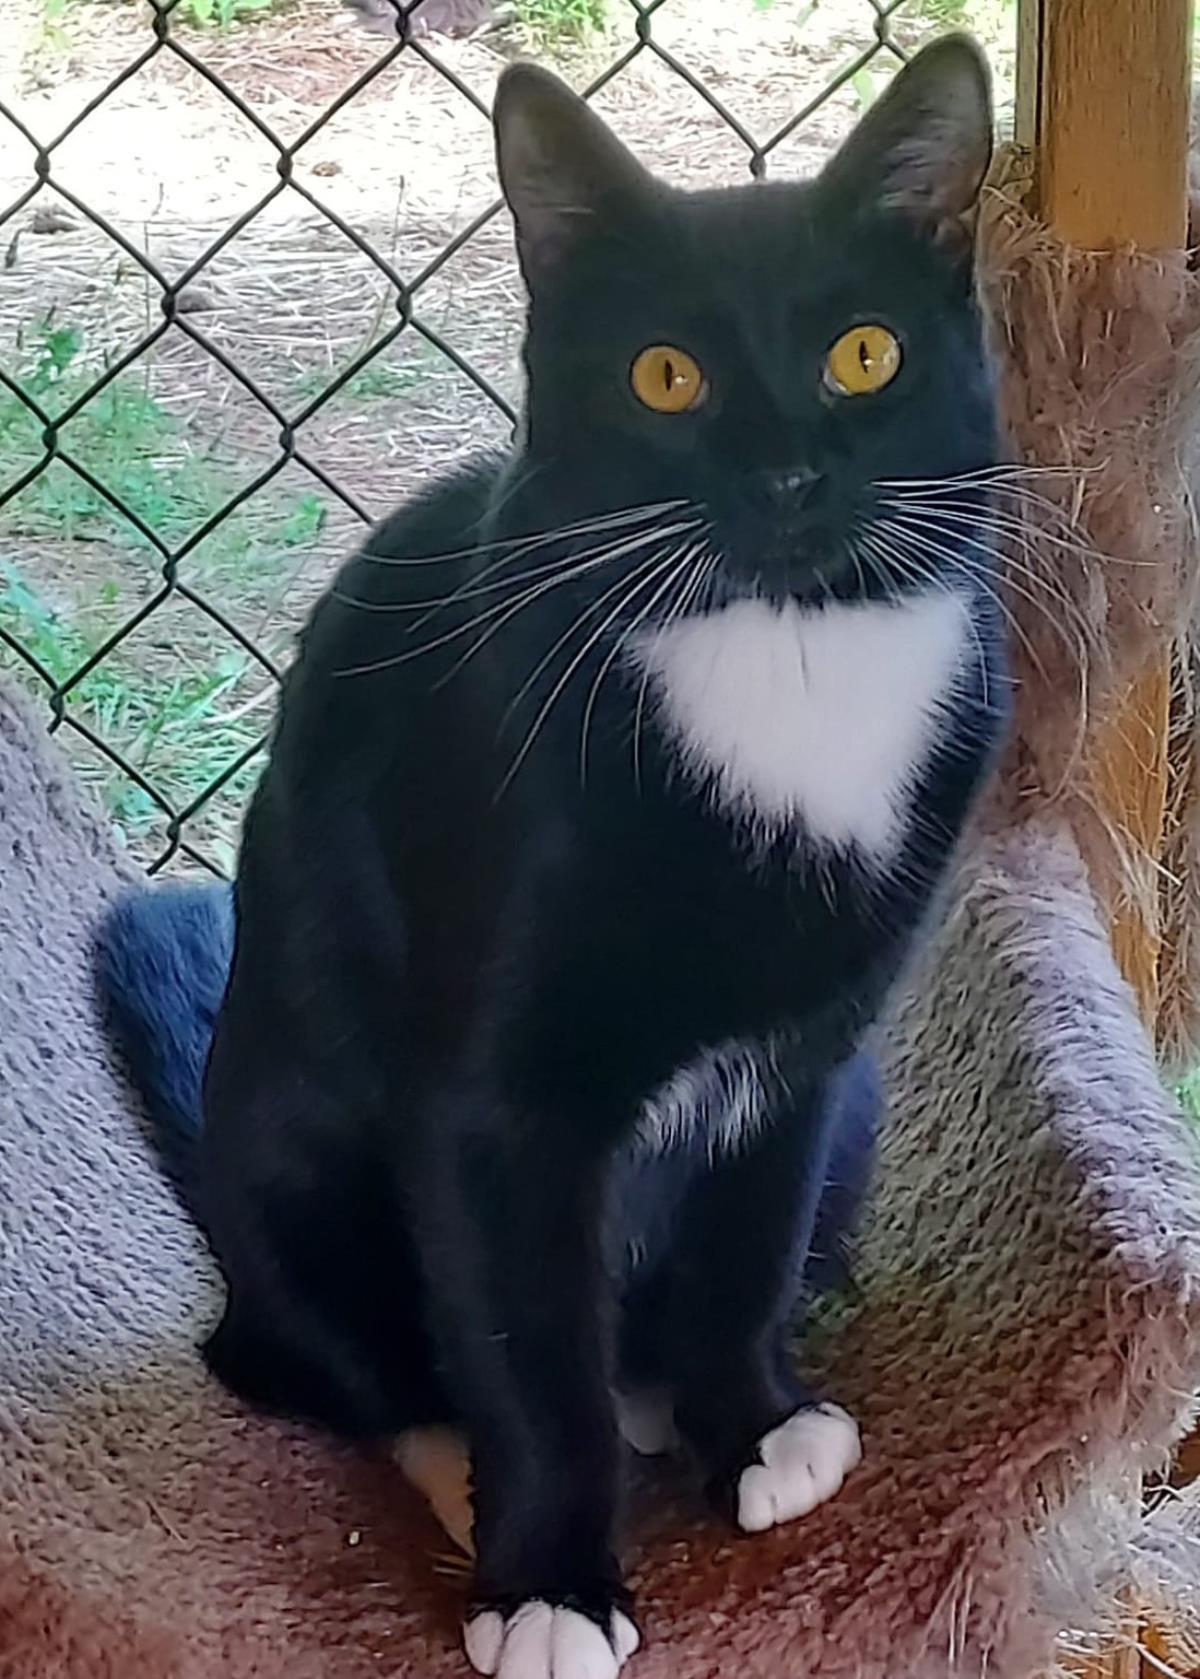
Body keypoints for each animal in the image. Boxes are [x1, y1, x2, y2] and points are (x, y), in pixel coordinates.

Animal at [98, 36, 1006, 1679]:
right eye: (665, 374)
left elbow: (746, 1243)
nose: (787, 477)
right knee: (336, 1364)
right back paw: (458, 1468)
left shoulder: (809, 1050)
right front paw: (548, 1584)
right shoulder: (490, 1103)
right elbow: (527, 1350)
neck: (776, 667)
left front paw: (754, 1426)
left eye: (865, 355)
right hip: (286, 1168)